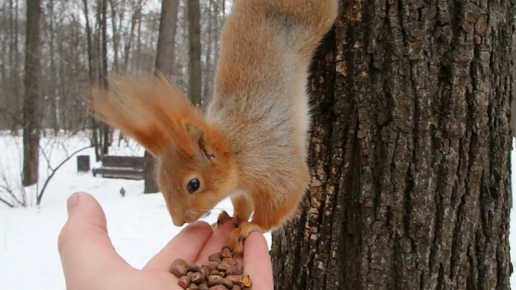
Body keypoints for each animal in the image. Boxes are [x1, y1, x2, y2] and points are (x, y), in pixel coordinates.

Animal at [88, 0, 338, 254]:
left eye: (193, 184)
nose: (177, 222)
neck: (234, 151)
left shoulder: (272, 164)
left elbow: (285, 196)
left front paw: (250, 226)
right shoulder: (240, 189)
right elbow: (242, 204)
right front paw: (235, 218)